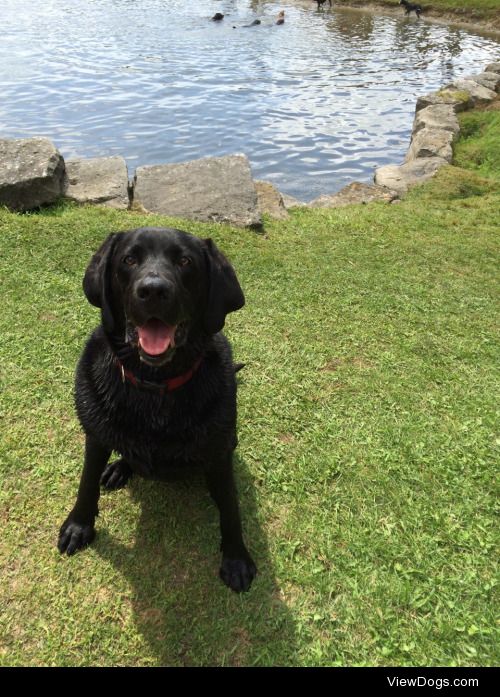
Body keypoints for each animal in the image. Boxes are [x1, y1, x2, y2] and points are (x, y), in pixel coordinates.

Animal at [56, 226, 256, 588]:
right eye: (129, 259)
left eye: (185, 261)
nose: (152, 290)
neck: (155, 384)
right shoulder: (95, 434)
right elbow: (87, 481)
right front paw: (79, 526)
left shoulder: (219, 453)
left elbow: (231, 508)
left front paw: (236, 558)